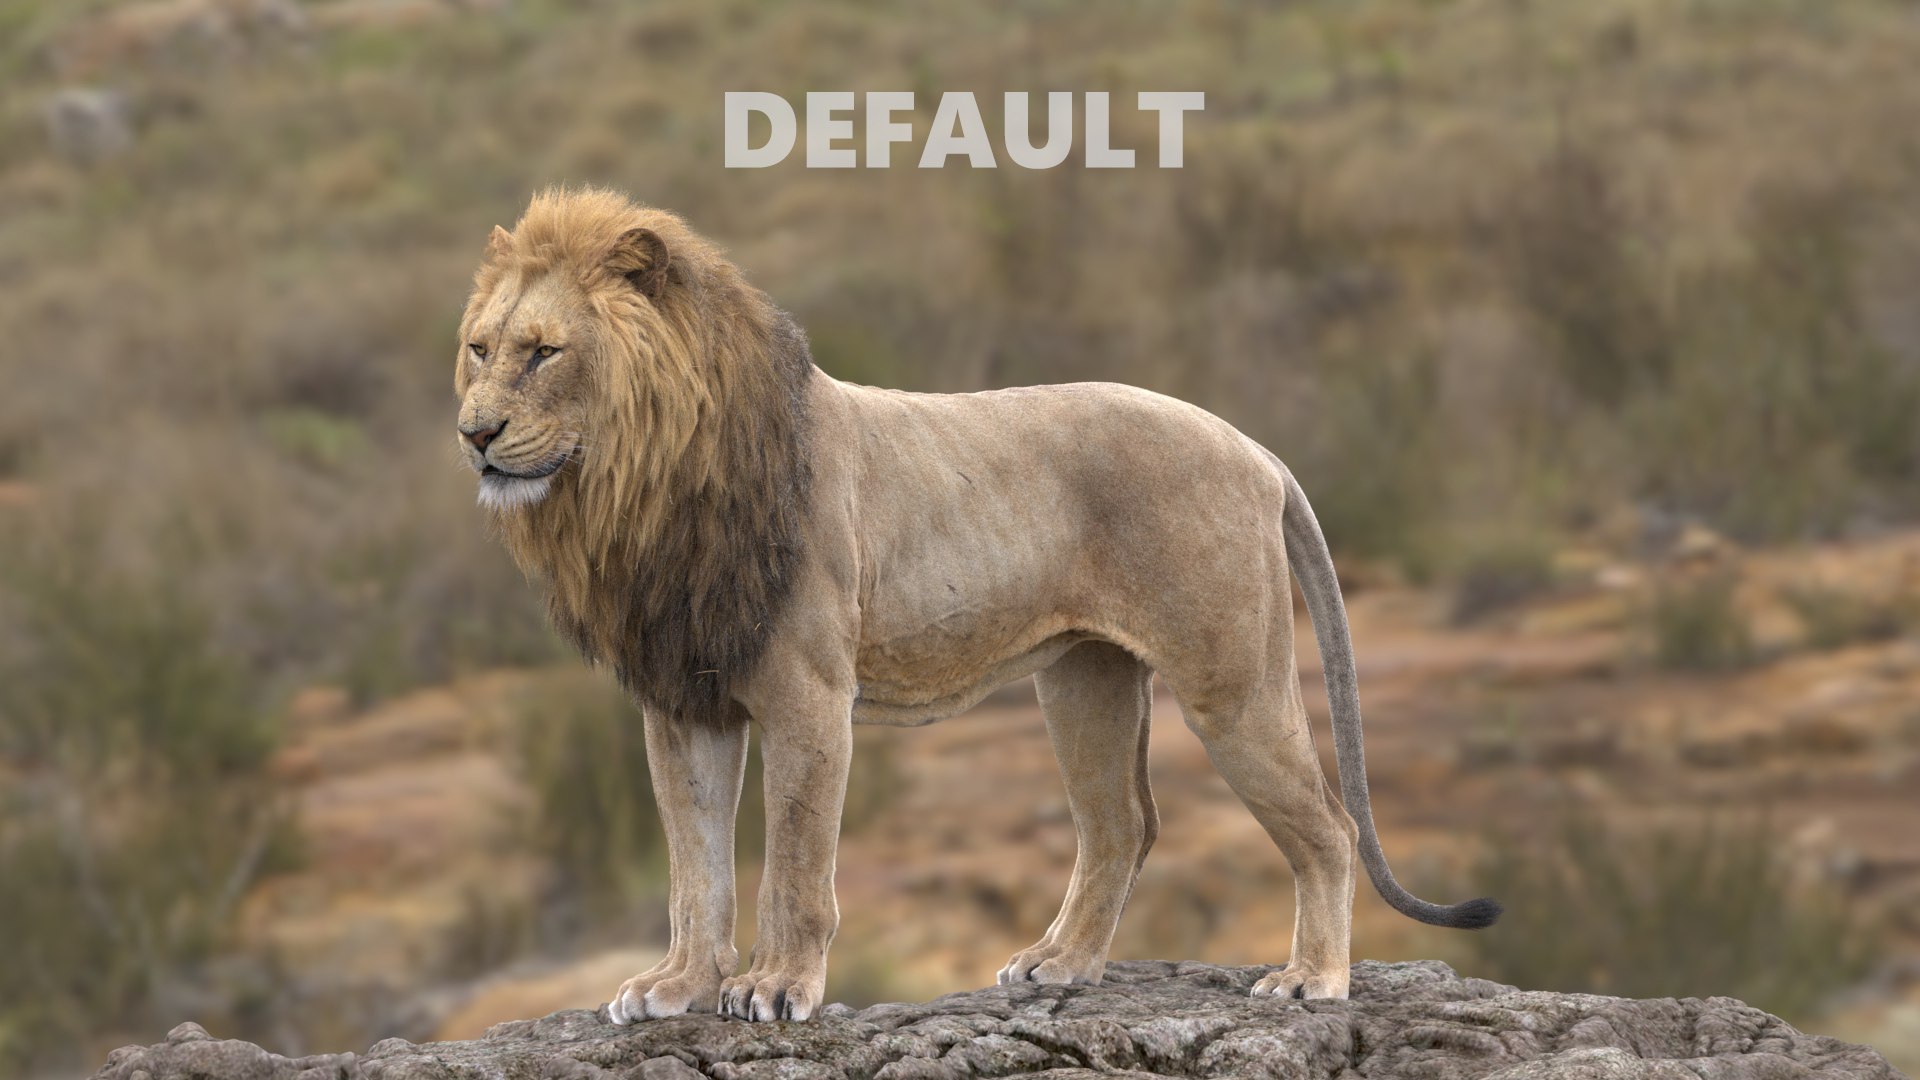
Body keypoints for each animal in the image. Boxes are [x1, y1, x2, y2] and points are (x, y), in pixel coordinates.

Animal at [455, 188, 1499, 1024]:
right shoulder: (683, 702)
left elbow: (794, 862)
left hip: (1229, 680)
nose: (474, 433)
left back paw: (1312, 980)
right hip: (1084, 680)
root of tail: (1253, 446)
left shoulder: (807, 695)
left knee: (1326, 825)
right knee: (1123, 823)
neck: (641, 488)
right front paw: (676, 986)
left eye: (544, 353)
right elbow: (694, 866)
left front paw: (777, 988)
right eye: (478, 349)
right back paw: (1059, 966)